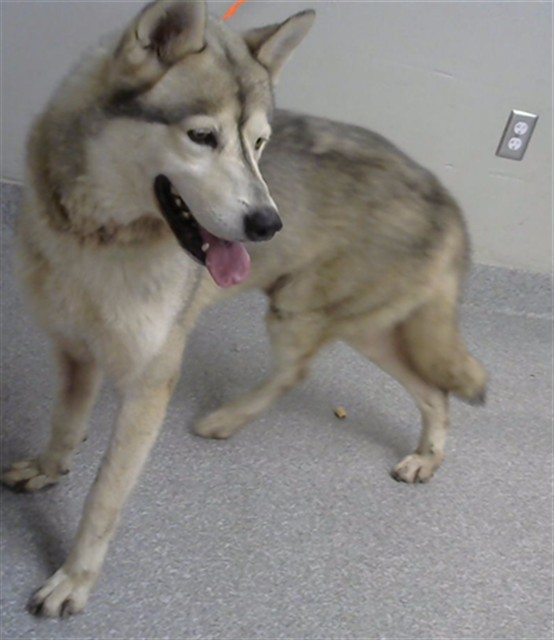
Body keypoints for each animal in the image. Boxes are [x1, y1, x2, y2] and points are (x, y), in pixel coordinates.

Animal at [2, 0, 487, 617]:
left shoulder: (148, 384)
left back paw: (229, 418)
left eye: (259, 143)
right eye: (202, 136)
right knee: (431, 392)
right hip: (358, 326)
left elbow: (104, 498)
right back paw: (427, 455)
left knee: (303, 372)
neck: (100, 237)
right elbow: (63, 427)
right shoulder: (74, 352)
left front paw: (74, 580)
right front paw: (47, 470)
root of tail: (447, 201)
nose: (268, 224)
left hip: (303, 313)